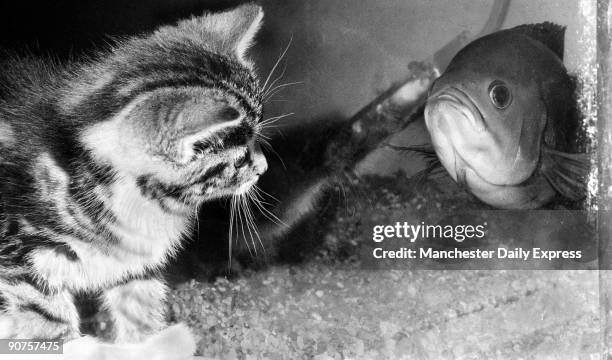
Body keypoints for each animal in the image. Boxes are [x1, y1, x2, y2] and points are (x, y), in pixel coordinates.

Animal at [0, 2, 266, 352]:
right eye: (238, 158)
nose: (263, 167)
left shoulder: (135, 266)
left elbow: (139, 308)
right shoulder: (20, 262)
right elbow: (49, 324)